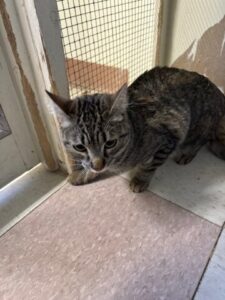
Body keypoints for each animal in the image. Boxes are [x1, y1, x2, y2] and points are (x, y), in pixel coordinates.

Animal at [46, 66, 225, 192]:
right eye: (80, 147)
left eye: (110, 143)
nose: (98, 165)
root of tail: (219, 93)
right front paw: (83, 174)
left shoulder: (169, 135)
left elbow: (150, 165)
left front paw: (140, 180)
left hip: (201, 124)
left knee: (202, 140)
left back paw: (187, 153)